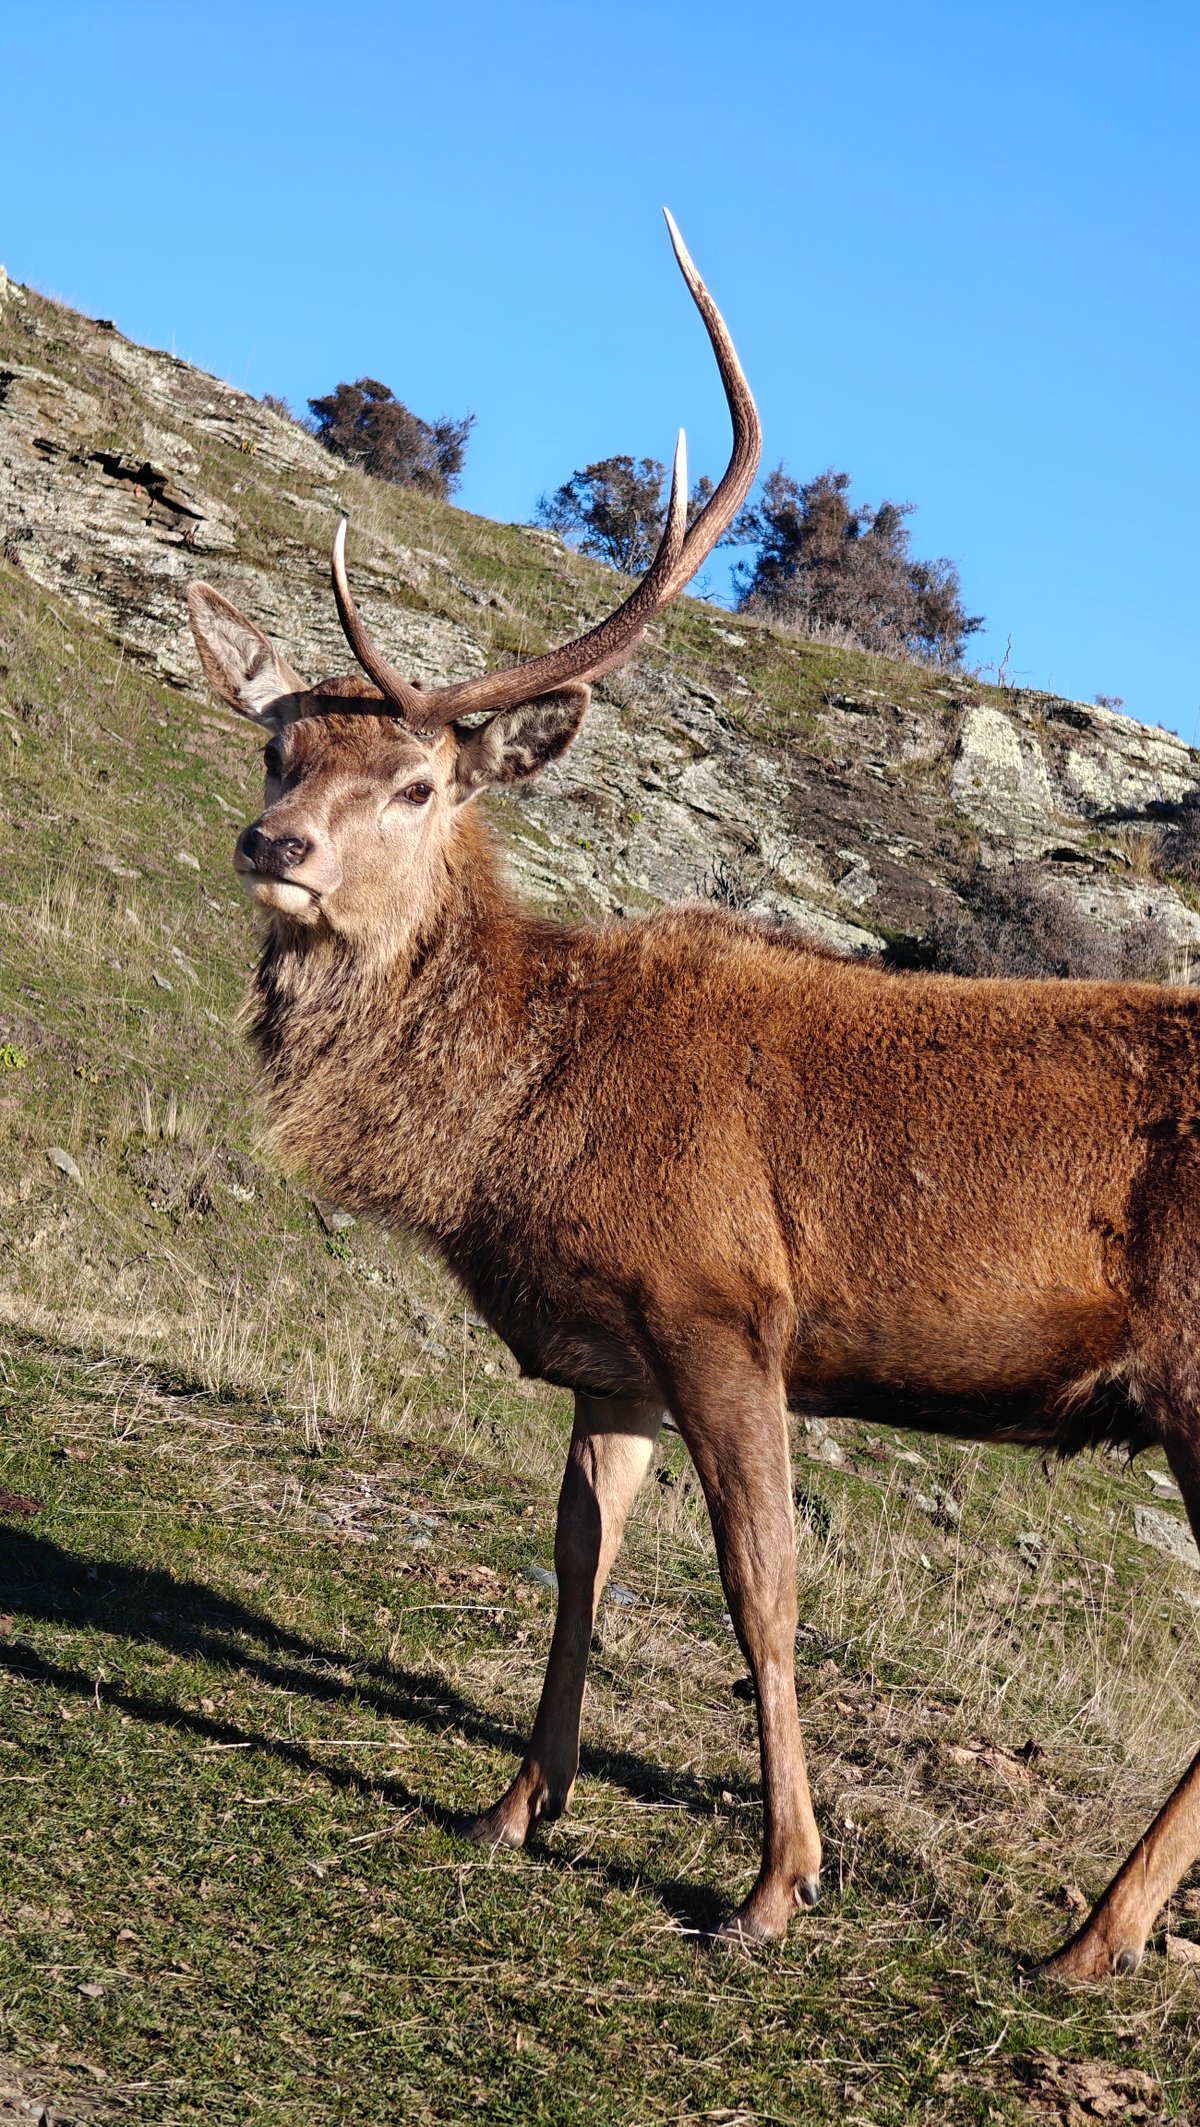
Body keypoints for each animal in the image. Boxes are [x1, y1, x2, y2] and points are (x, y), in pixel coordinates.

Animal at [187, 212, 1200, 1983]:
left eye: (420, 781)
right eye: (275, 752)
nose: (276, 847)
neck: (521, 1125)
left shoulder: (722, 1299)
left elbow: (762, 1584)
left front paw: (775, 1883)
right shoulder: (615, 1352)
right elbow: (580, 1557)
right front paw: (513, 1805)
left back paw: (1090, 1936)